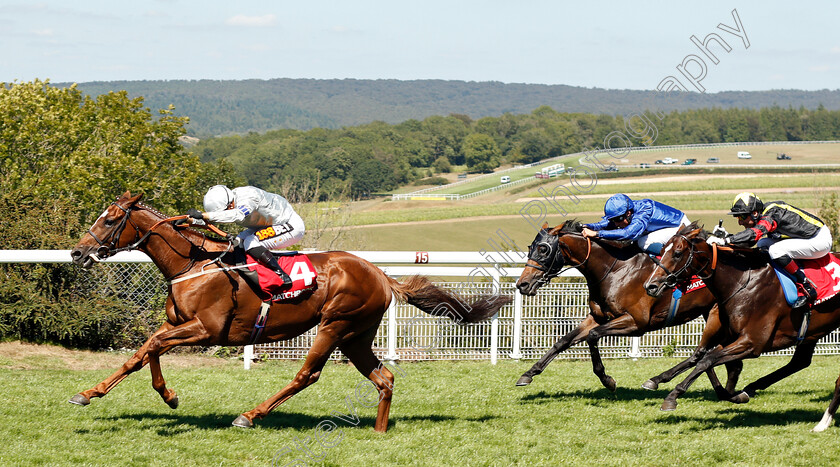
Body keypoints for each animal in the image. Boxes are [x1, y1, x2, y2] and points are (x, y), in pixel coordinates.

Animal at [67, 192, 512, 434]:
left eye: (110, 219)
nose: (77, 252)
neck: (192, 264)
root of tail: (381, 275)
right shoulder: (178, 323)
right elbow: (143, 353)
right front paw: (94, 393)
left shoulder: (206, 329)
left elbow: (154, 346)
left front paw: (165, 396)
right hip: (356, 336)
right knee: (383, 378)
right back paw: (379, 429)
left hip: (335, 325)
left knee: (307, 374)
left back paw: (250, 415)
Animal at [516, 221, 740, 394]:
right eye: (530, 247)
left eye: (543, 249)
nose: (522, 284)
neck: (614, 269)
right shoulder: (598, 316)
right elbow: (564, 341)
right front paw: (528, 374)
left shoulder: (636, 322)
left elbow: (593, 336)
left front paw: (608, 380)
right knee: (713, 356)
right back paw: (725, 389)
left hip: (716, 313)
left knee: (701, 352)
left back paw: (658, 380)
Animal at [644, 223, 840, 428]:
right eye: (662, 250)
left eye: (677, 253)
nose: (650, 286)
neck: (741, 282)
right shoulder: (735, 338)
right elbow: (702, 358)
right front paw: (657, 380)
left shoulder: (752, 343)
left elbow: (707, 360)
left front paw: (672, 396)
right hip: (812, 332)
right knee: (800, 362)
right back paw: (751, 388)